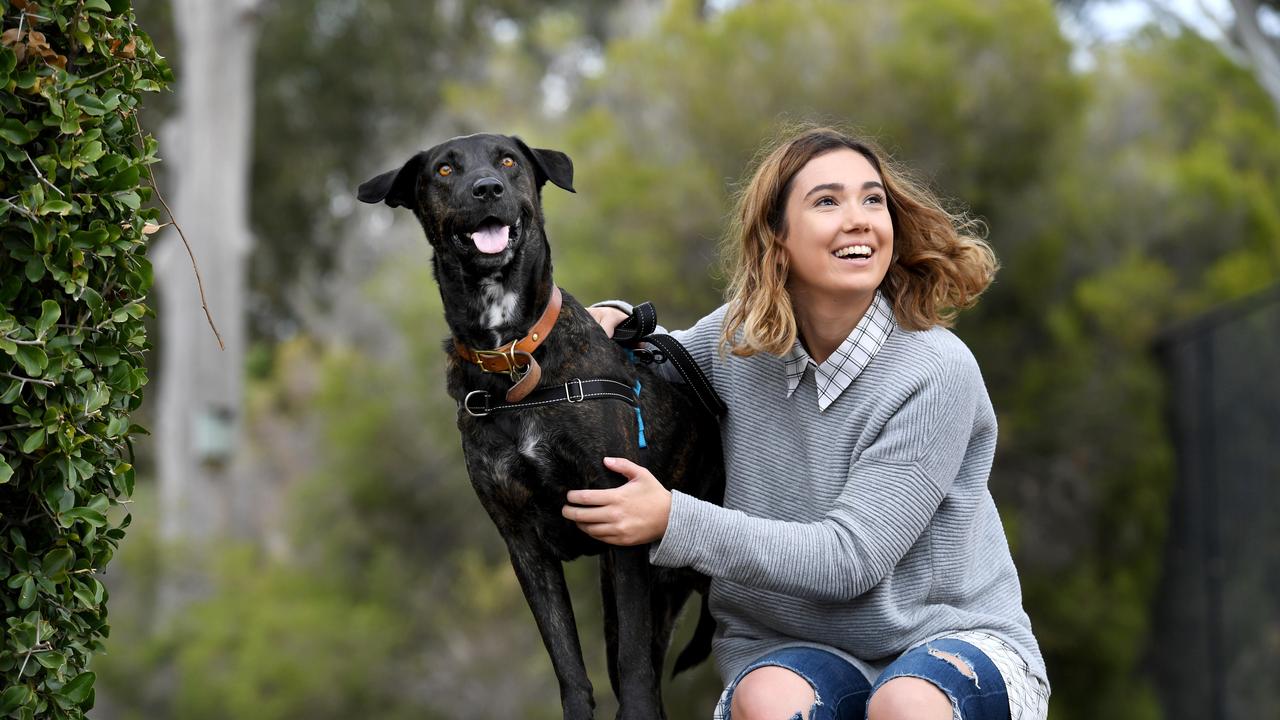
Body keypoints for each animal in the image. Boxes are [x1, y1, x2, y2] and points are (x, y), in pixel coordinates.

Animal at [355, 133, 727, 712]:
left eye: (508, 160)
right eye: (444, 170)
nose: (487, 188)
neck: (512, 357)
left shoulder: (621, 528)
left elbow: (634, 671)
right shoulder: (524, 546)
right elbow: (570, 667)